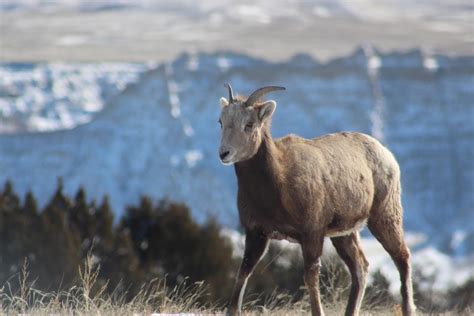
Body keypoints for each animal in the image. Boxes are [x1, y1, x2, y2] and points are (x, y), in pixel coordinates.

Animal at [218, 84, 414, 316]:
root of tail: (387, 155)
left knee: (402, 258)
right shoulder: (257, 233)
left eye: (249, 124)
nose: (224, 153)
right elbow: (243, 272)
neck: (279, 181)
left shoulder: (311, 234)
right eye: (221, 122)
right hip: (344, 235)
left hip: (385, 218)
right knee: (360, 267)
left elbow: (310, 278)